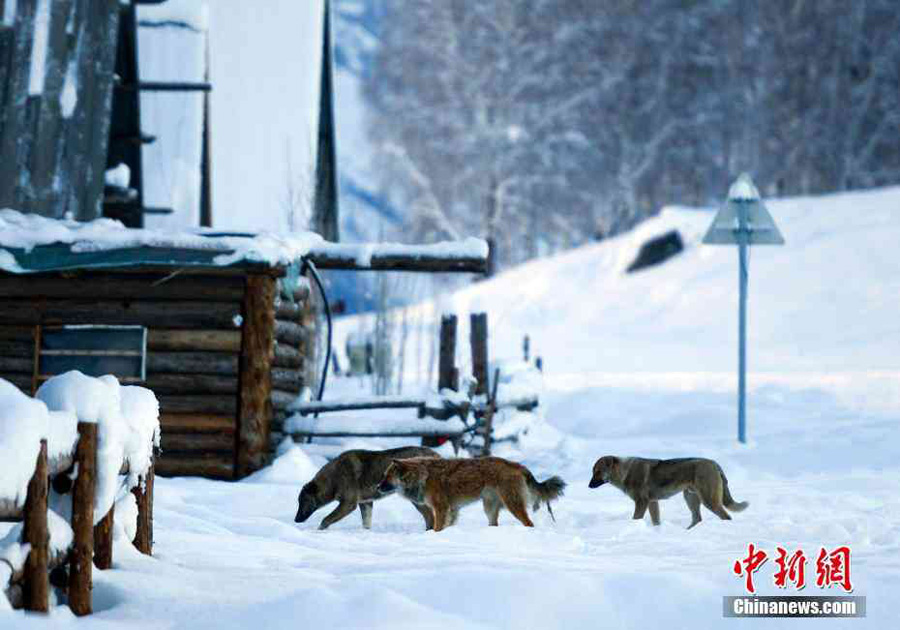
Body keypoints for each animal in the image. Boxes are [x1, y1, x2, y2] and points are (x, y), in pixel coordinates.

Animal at [296, 446, 440, 532]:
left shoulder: (349, 504)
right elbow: (366, 524)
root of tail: (436, 455)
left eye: (303, 501)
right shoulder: (365, 503)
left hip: (416, 499)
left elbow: (325, 519)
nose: (296, 520)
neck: (333, 478)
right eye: (299, 502)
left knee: (430, 516)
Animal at [378, 460, 564, 532]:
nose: (377, 487)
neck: (423, 475)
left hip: (513, 505)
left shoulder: (441, 508)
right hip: (489, 508)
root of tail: (519, 466)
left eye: (387, 476)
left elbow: (437, 528)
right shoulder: (451, 511)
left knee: (529, 523)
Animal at [588, 456, 748, 532]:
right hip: (690, 498)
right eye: (593, 471)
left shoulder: (642, 502)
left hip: (708, 500)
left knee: (726, 517)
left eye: (598, 471)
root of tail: (714, 463)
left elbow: (636, 518)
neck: (624, 472)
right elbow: (656, 521)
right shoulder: (652, 502)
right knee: (697, 518)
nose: (589, 486)